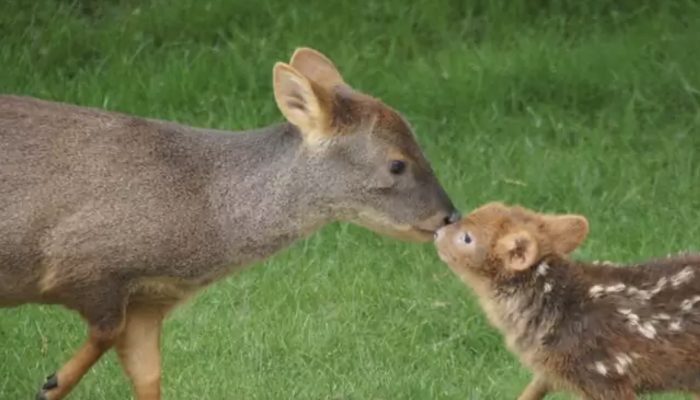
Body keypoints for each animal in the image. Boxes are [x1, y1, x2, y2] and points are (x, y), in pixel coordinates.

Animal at [0, 47, 459, 400]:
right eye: (397, 164)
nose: (449, 215)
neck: (206, 208)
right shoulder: (85, 260)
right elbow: (105, 329)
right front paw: (52, 384)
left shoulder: (149, 301)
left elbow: (148, 377)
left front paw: (53, 382)